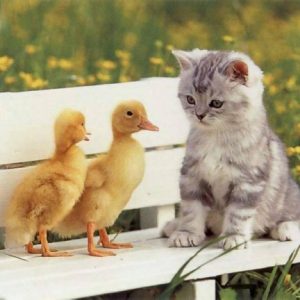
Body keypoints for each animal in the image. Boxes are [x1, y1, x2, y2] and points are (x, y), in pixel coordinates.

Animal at [163, 49, 300, 250]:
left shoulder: (248, 181)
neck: (216, 137)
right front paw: (186, 233)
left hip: (287, 195)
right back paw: (173, 225)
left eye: (216, 103)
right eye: (190, 99)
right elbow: (191, 210)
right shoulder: (192, 176)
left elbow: (238, 214)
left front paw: (233, 237)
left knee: (288, 214)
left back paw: (286, 228)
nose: (199, 115)